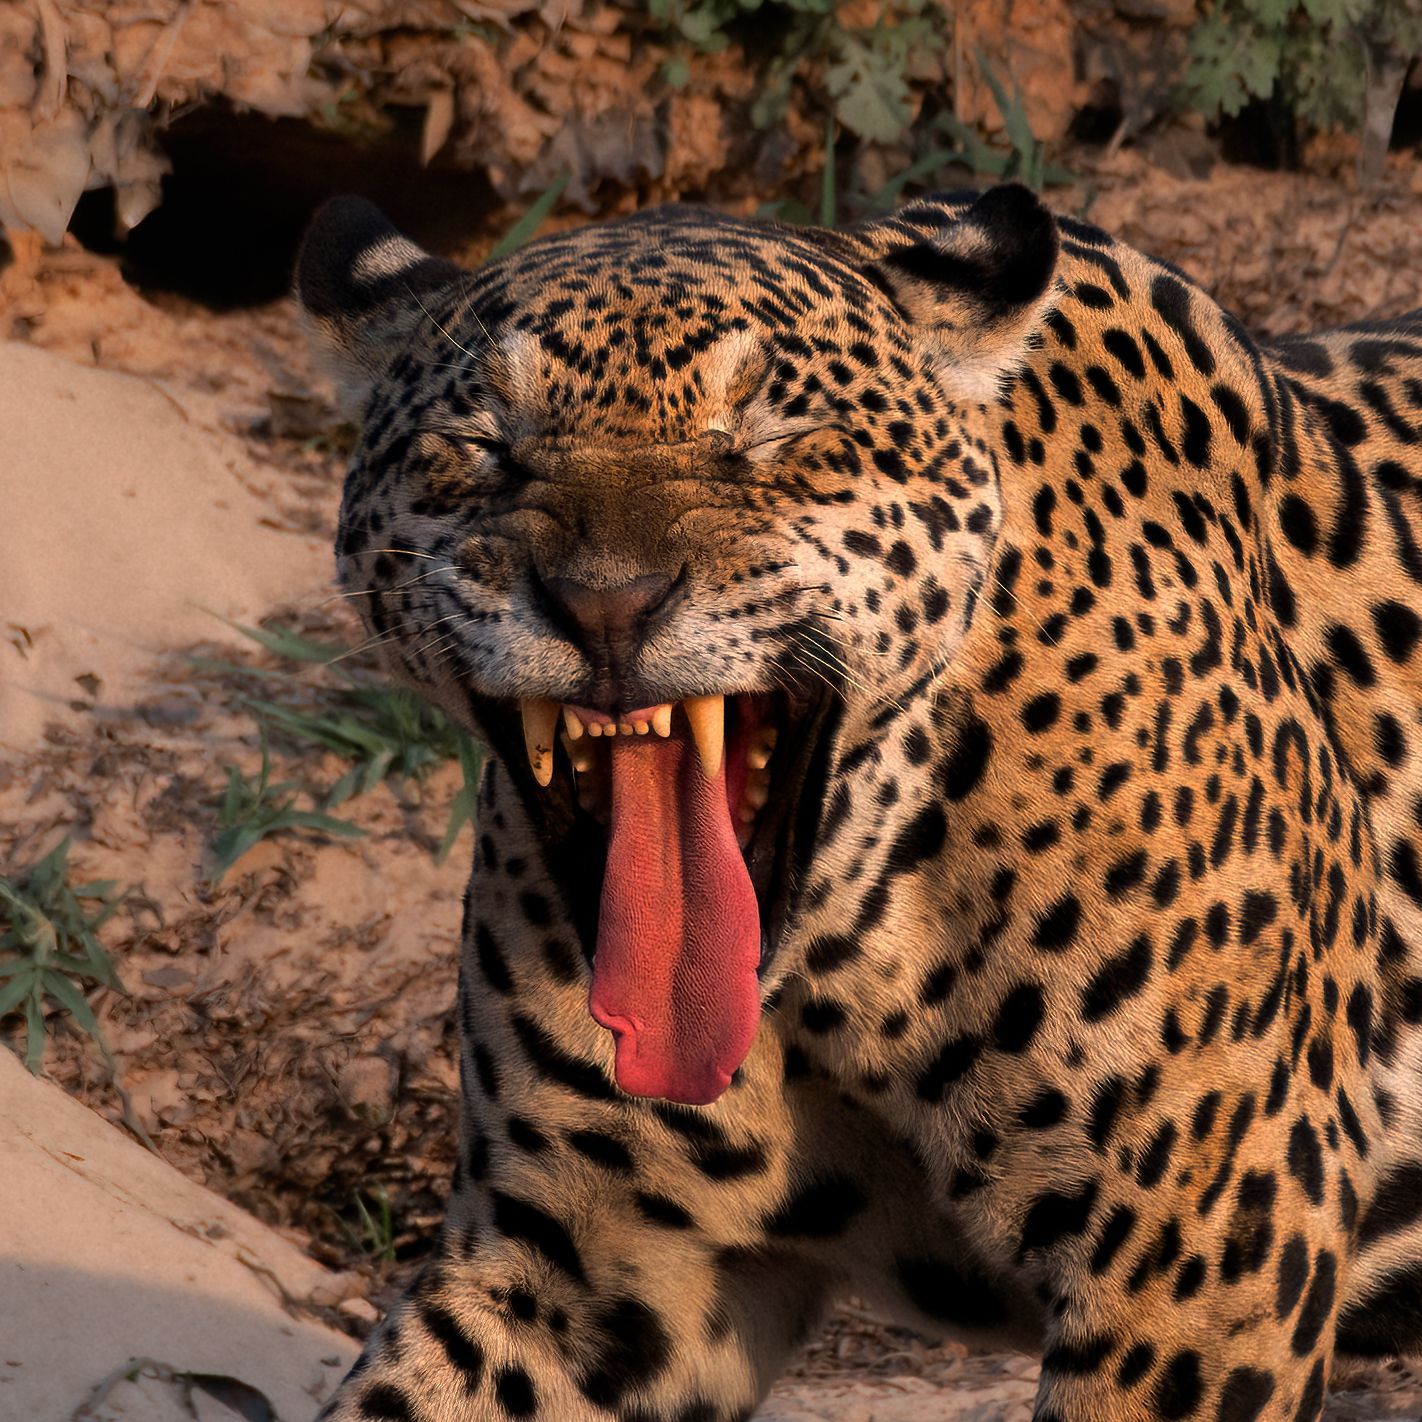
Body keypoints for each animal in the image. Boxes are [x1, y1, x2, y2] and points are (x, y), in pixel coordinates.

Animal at [294, 182, 1422, 1422]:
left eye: (772, 439)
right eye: (482, 447)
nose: (606, 605)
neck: (848, 944)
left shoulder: (1199, 1258)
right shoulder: (568, 1275)